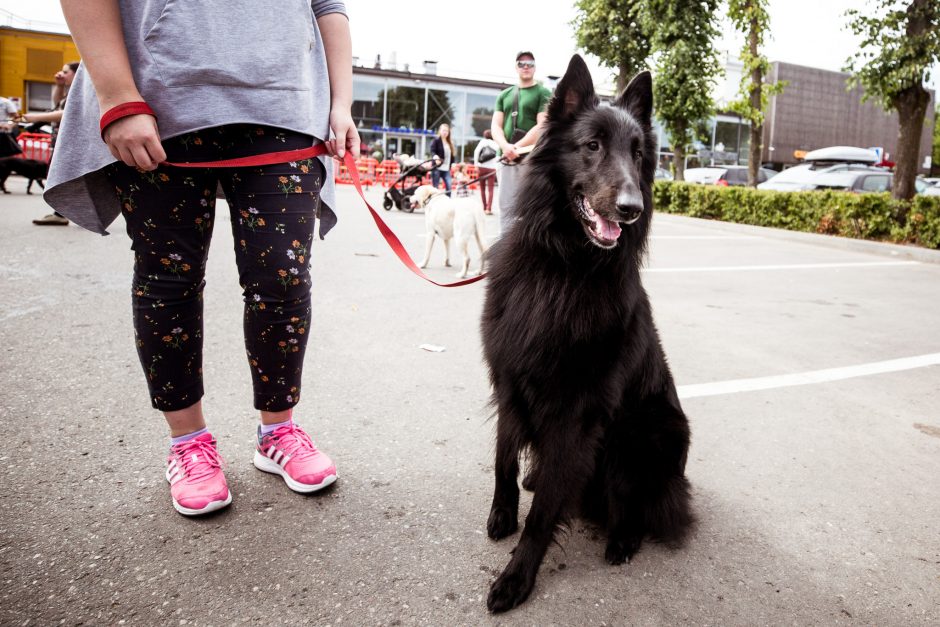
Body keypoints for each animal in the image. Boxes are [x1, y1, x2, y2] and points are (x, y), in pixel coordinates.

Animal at [484, 55, 692, 612]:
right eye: (592, 145)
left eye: (638, 153)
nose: (631, 208)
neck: (563, 266)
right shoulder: (509, 380)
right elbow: (504, 458)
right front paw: (502, 514)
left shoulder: (576, 415)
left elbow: (543, 515)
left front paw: (516, 577)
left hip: (642, 436)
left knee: (639, 507)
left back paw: (623, 540)